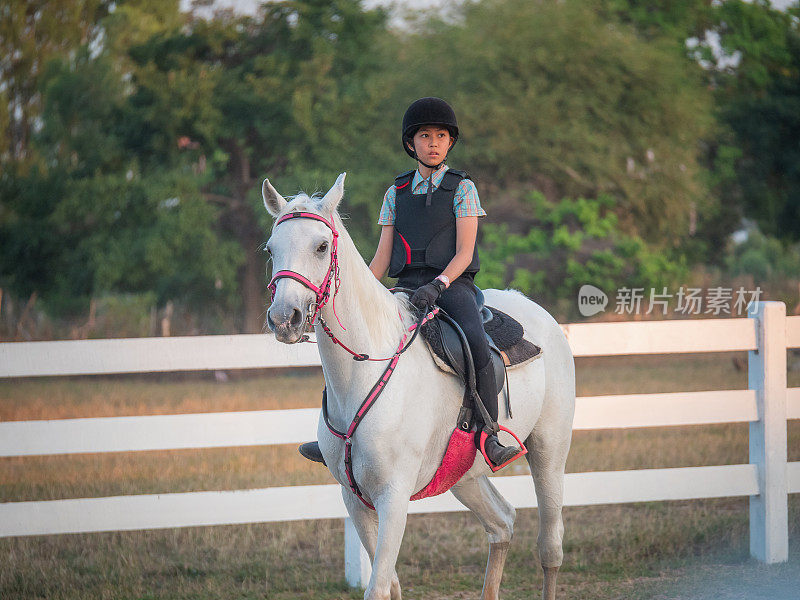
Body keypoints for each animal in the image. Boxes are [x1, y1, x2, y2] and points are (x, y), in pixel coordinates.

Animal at [262, 173, 576, 600]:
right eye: (271, 248)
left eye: (321, 246)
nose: (284, 318)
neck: (365, 370)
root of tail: (540, 314)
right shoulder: (355, 499)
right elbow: (390, 584)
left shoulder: (393, 498)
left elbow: (378, 587)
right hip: (465, 474)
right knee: (502, 523)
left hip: (549, 453)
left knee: (550, 547)